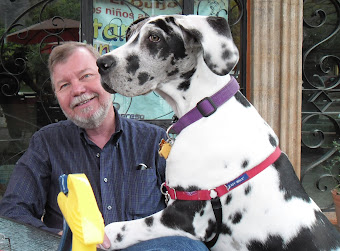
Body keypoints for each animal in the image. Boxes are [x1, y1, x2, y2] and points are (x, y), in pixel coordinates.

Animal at [97, 14, 340, 250]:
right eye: (128, 34)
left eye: (154, 38)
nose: (101, 63)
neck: (204, 109)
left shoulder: (186, 214)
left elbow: (115, 229)